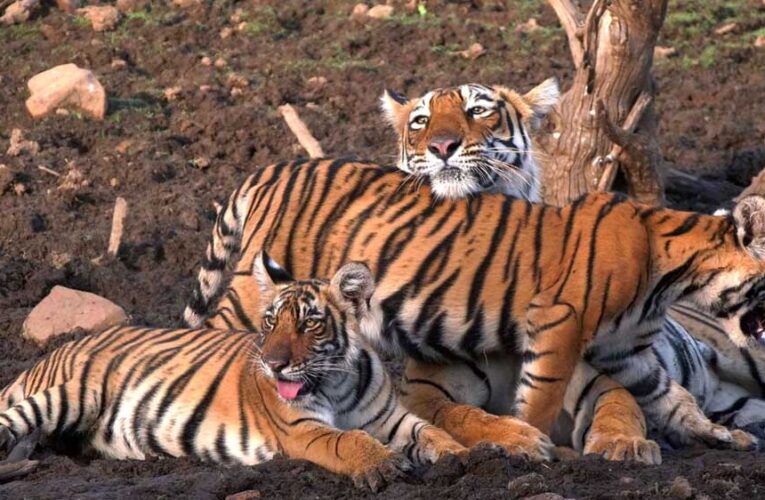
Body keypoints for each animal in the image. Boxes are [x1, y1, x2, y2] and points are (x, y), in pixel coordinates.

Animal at [0, 253, 465, 492]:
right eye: (270, 322)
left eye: (309, 324)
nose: (274, 365)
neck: (337, 381)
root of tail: (55, 351)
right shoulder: (301, 429)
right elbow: (347, 439)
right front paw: (382, 465)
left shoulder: (391, 417)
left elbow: (430, 432)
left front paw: (463, 456)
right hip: (72, 393)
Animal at [182, 157, 765, 465]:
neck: (673, 277)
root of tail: (276, 166)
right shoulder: (558, 323)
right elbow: (538, 401)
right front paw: (533, 447)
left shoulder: (628, 354)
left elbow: (673, 396)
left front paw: (715, 434)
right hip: (249, 300)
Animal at [378, 78, 765, 446]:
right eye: (421, 121)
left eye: (476, 110)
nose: (442, 146)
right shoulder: (424, 389)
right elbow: (462, 416)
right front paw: (515, 438)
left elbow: (618, 403)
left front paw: (620, 442)